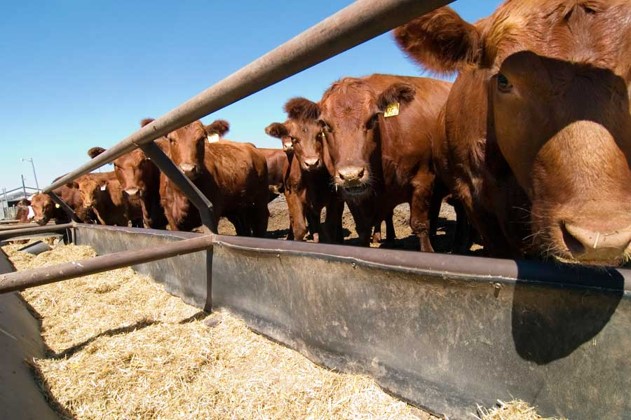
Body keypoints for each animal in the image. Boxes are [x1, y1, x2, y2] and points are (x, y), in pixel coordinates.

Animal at [292, 74, 454, 249]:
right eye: (325, 124)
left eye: (373, 118)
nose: (351, 175)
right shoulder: (350, 195)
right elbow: (363, 229)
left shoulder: (422, 180)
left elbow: (420, 225)